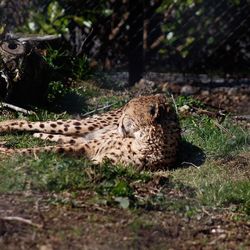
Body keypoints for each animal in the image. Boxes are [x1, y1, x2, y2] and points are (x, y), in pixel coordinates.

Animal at [0, 94, 181, 171]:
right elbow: (37, 149)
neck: (144, 139)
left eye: (128, 112)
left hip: (81, 136)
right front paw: (7, 153)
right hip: (79, 125)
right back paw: (5, 126)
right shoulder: (89, 147)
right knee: (28, 123)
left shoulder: (100, 160)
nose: (118, 123)